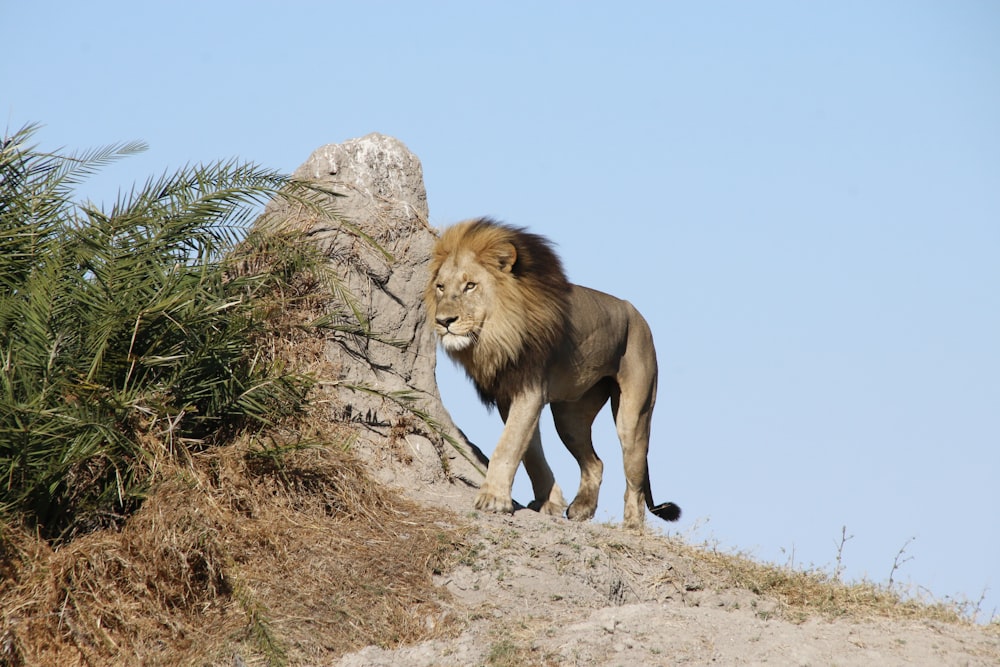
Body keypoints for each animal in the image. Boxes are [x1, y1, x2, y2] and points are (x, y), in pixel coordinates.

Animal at [424, 219, 680, 532]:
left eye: (470, 285)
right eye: (440, 287)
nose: (443, 321)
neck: (497, 333)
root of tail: (635, 312)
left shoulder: (530, 388)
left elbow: (508, 445)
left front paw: (493, 499)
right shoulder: (508, 394)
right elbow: (529, 450)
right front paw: (550, 501)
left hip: (634, 413)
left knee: (635, 476)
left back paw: (631, 526)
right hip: (570, 417)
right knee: (595, 462)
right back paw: (582, 508)